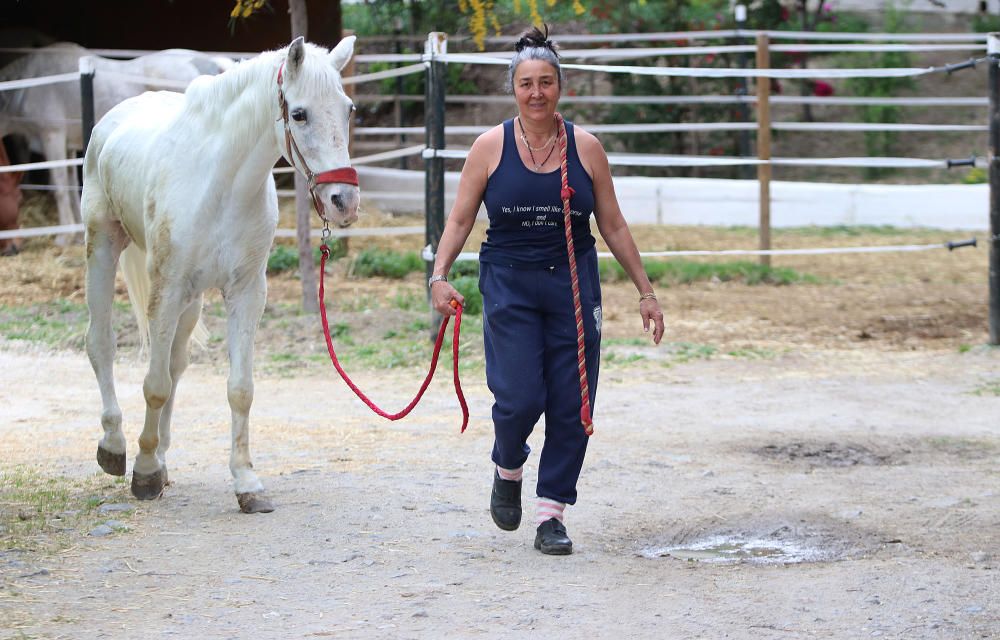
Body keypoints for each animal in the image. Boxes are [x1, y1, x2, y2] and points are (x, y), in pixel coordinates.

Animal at [83, 37, 360, 512]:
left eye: (348, 110)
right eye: (299, 114)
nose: (343, 200)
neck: (222, 186)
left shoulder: (246, 294)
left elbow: (239, 389)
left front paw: (246, 482)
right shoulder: (166, 289)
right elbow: (154, 384)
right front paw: (143, 473)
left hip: (192, 300)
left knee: (175, 363)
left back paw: (159, 455)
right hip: (103, 247)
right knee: (102, 345)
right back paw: (116, 446)